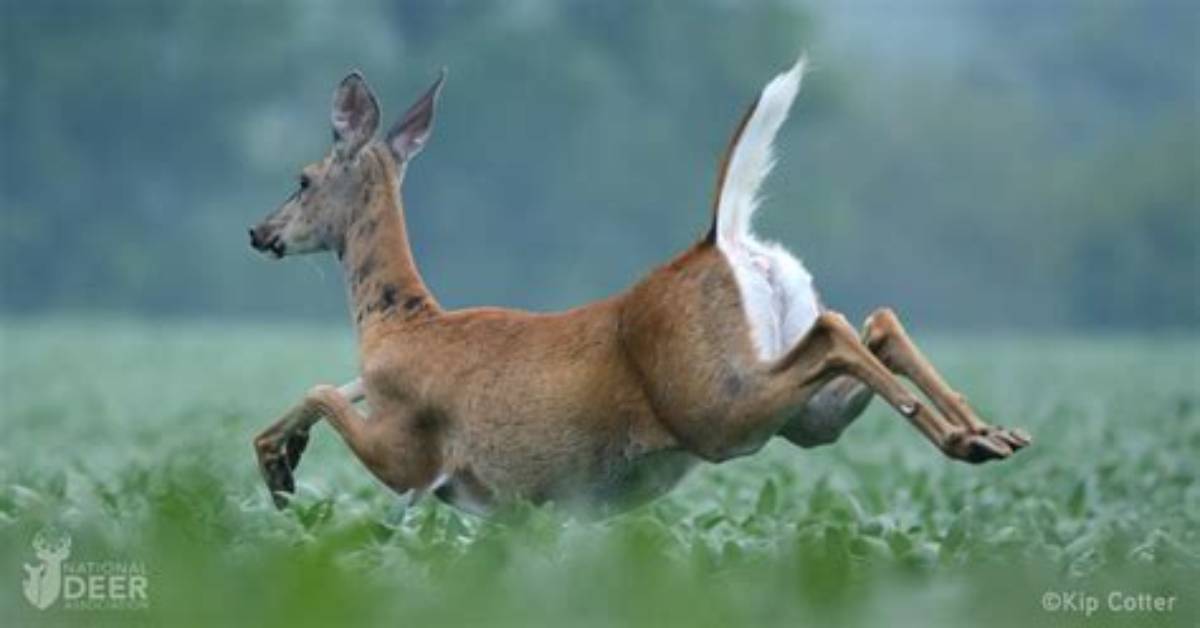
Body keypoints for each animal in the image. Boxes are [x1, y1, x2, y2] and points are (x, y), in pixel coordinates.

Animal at [248, 56, 1030, 517]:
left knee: (839, 332)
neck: (402, 320)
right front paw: (275, 458)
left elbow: (324, 389)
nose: (260, 232)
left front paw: (282, 471)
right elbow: (330, 386)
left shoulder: (410, 460)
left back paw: (970, 439)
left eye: (302, 179)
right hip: (800, 414)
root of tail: (722, 239)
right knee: (873, 323)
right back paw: (987, 433)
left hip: (717, 404)